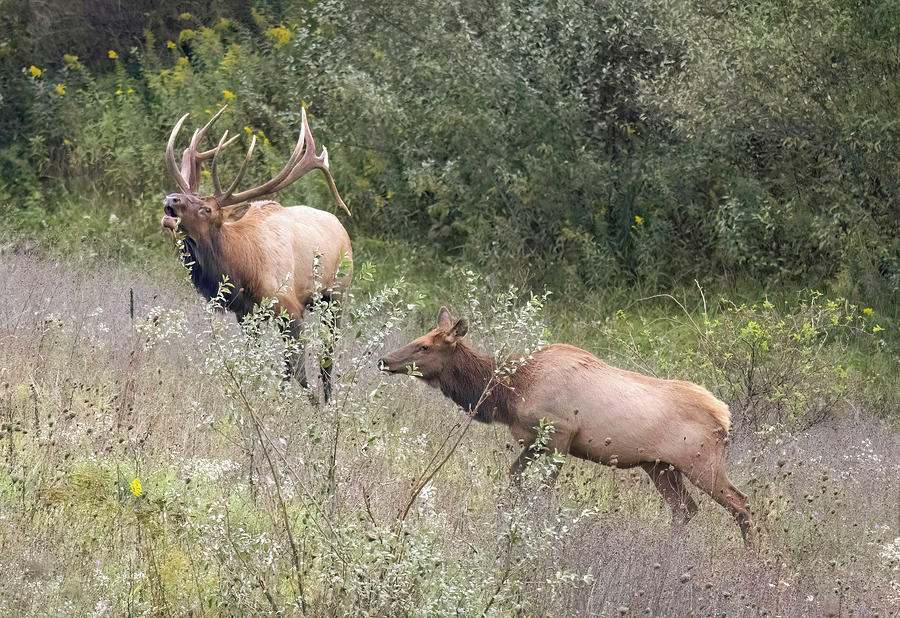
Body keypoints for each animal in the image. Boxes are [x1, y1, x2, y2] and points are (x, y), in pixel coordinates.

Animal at [162, 104, 352, 400]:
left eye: (207, 209)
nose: (171, 198)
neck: (242, 269)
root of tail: (342, 228)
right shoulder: (245, 313)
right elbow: (253, 360)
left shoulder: (288, 306)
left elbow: (296, 369)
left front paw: (306, 403)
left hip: (336, 295)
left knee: (328, 355)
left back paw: (328, 400)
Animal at [376, 306, 756, 544]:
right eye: (417, 339)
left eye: (424, 346)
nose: (383, 360)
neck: (509, 394)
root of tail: (724, 416)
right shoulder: (532, 439)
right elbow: (513, 480)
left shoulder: (560, 434)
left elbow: (544, 491)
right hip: (659, 466)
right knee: (685, 509)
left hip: (700, 462)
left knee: (741, 504)